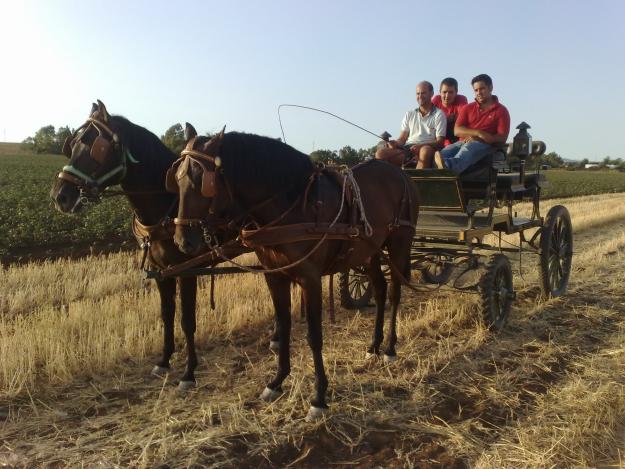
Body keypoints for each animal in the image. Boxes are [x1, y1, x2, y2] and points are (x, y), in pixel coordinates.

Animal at [49, 100, 246, 390]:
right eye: (72, 144)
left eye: (96, 146)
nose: (60, 196)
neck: (167, 206)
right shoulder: (160, 270)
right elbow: (166, 314)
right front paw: (163, 361)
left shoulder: (187, 270)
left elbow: (187, 320)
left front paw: (189, 373)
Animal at [171, 129, 416, 420]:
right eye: (177, 178)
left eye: (201, 181)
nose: (182, 242)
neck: (292, 205)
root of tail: (401, 173)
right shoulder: (274, 276)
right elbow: (284, 325)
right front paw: (277, 382)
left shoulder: (309, 279)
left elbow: (314, 336)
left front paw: (318, 397)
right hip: (370, 251)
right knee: (379, 291)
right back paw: (374, 347)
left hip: (399, 244)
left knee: (395, 292)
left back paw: (389, 348)